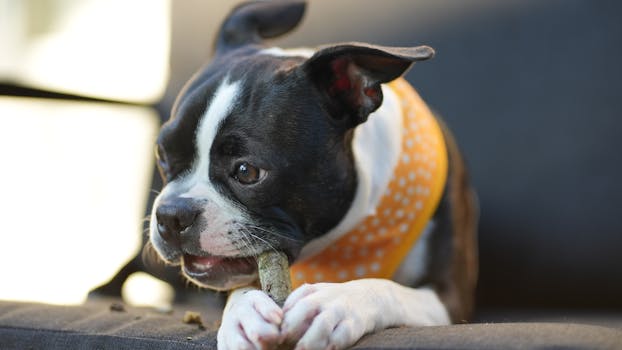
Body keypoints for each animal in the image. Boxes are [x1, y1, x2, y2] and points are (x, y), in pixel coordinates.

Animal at [149, 1, 480, 348]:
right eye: (162, 154)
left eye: (247, 172)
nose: (172, 214)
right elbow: (242, 289)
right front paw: (244, 313)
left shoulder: (451, 299)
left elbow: (389, 289)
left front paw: (336, 303)